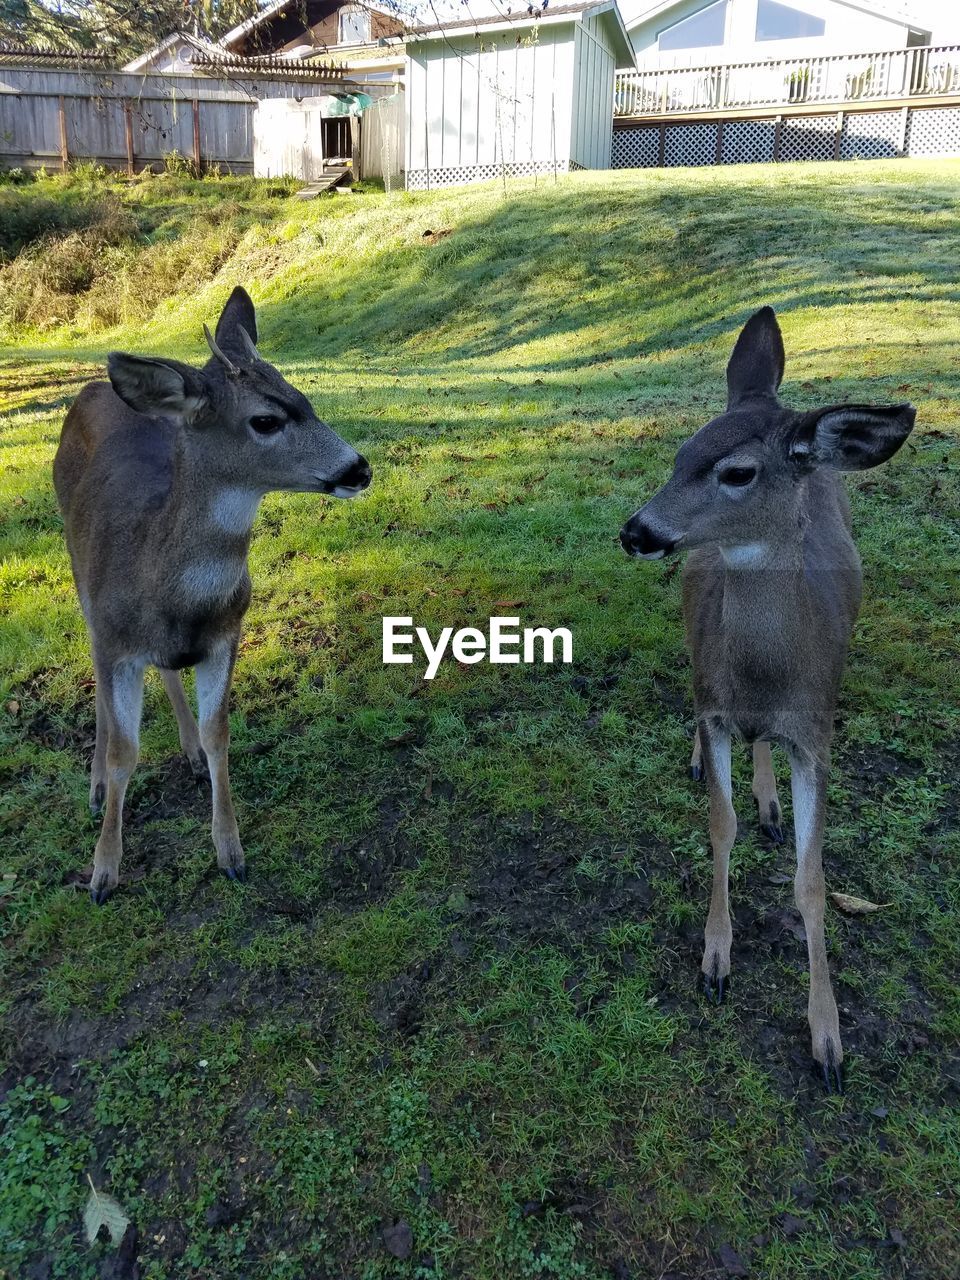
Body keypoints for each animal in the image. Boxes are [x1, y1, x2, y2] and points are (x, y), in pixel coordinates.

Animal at [54, 288, 371, 911]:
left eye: (306, 399)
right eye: (265, 420)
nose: (358, 468)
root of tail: (96, 389)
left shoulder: (226, 634)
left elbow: (218, 732)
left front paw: (230, 852)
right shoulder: (116, 640)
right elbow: (126, 750)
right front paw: (103, 872)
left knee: (168, 671)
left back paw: (188, 754)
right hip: (79, 572)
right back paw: (97, 787)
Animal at [624, 307, 916, 1090]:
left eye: (736, 473)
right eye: (678, 456)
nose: (636, 530)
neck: (766, 674)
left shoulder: (816, 733)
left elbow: (812, 883)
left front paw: (828, 1041)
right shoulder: (719, 704)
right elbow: (718, 825)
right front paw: (716, 961)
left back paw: (770, 801)